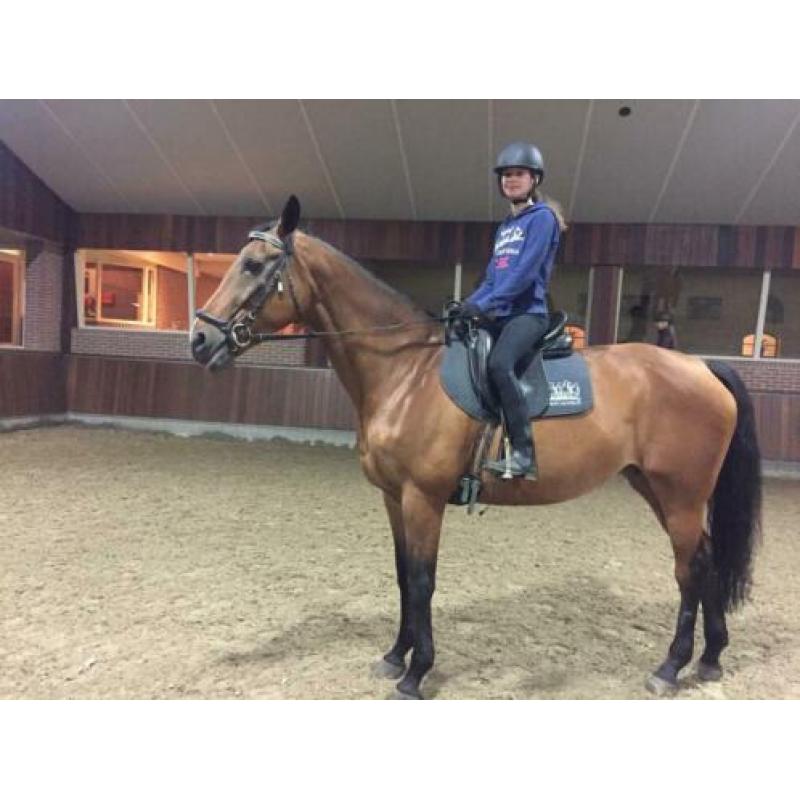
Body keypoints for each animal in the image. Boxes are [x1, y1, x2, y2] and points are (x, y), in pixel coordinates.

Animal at [190, 196, 762, 700]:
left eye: (254, 265)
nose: (200, 340)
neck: (404, 372)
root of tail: (699, 366)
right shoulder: (394, 498)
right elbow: (402, 576)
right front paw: (394, 656)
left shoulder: (423, 498)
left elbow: (422, 581)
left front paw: (416, 674)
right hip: (657, 488)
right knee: (705, 560)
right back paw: (710, 659)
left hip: (681, 494)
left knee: (689, 570)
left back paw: (669, 667)